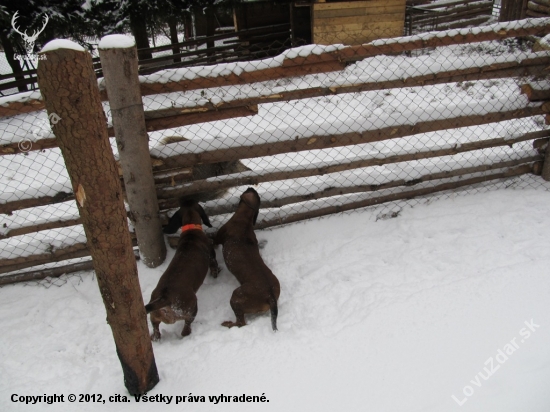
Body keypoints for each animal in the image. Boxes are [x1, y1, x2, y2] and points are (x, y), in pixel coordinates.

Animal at [146, 200, 219, 342]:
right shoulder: (212, 256)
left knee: (156, 330)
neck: (191, 230)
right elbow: (214, 266)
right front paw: (216, 273)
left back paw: (155, 338)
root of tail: (165, 298)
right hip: (191, 308)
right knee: (186, 329)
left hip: (153, 317)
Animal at [212, 188, 280, 330]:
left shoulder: (217, 239)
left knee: (240, 323)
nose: (250, 187)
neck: (245, 220)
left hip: (236, 297)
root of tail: (270, 296)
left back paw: (228, 324)